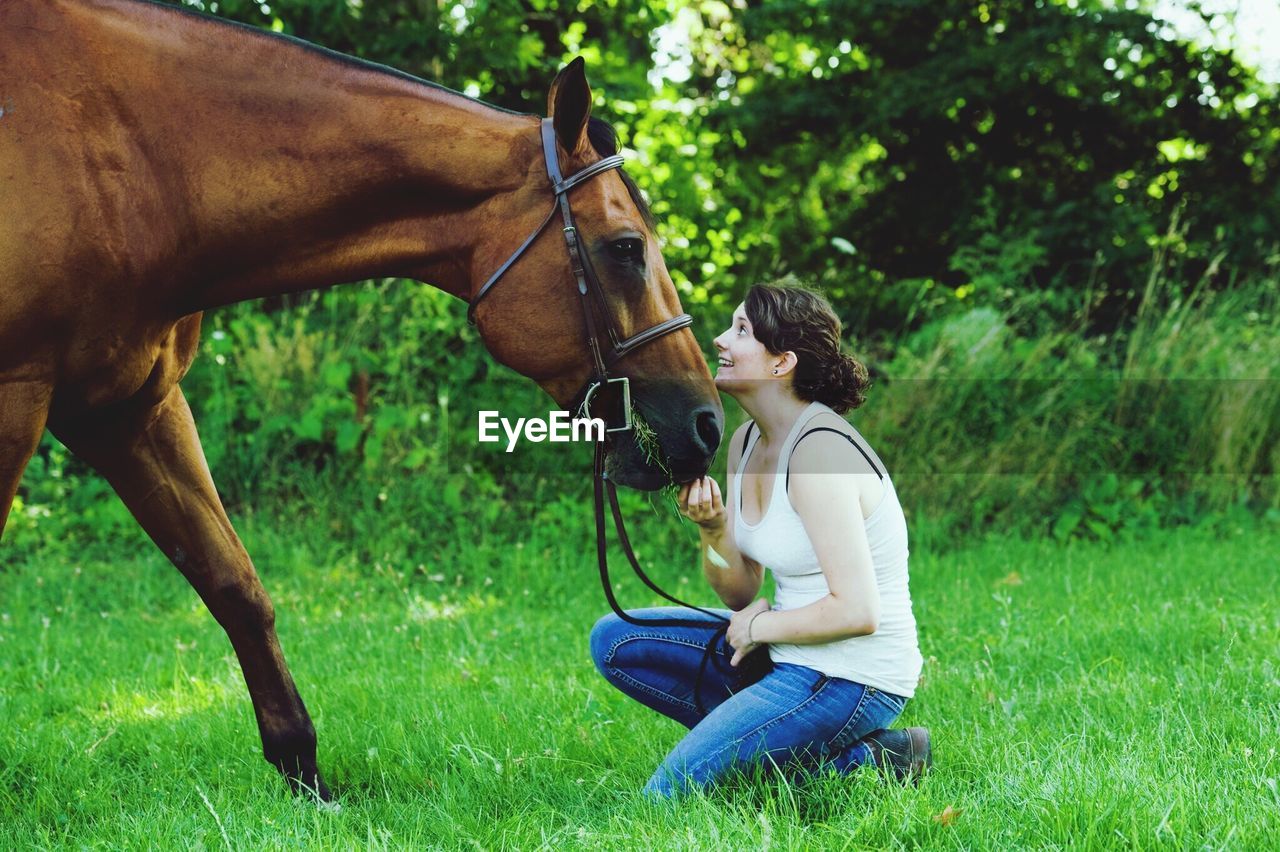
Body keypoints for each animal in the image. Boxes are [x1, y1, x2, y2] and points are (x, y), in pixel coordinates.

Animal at [0, 0, 723, 800]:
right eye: (625, 248)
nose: (706, 423)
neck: (127, 156)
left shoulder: (133, 408)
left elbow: (235, 585)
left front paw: (303, 775)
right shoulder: (18, 396)